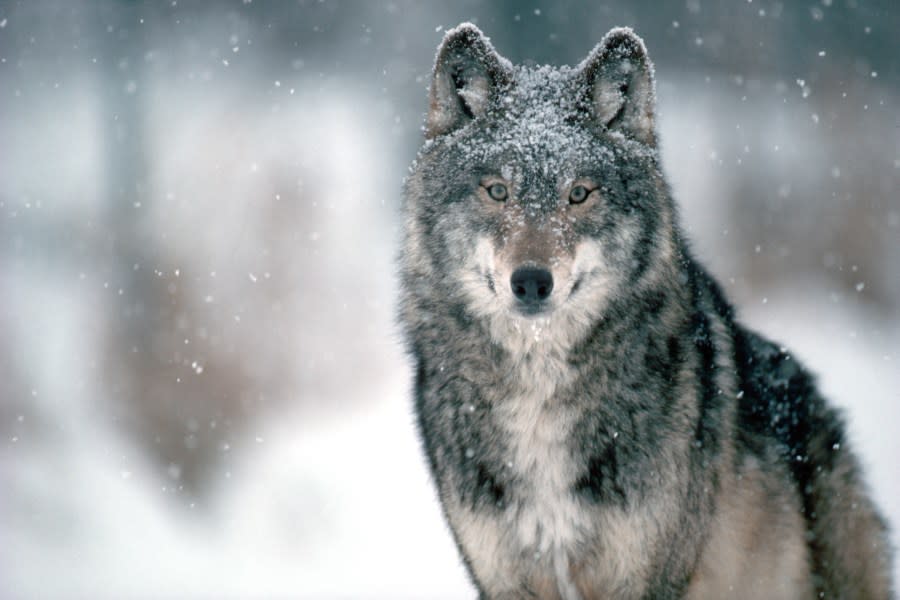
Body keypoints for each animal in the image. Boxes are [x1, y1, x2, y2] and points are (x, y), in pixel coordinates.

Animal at [400, 23, 892, 600]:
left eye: (579, 194)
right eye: (498, 191)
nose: (532, 282)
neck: (538, 395)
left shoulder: (645, 576)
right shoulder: (504, 580)